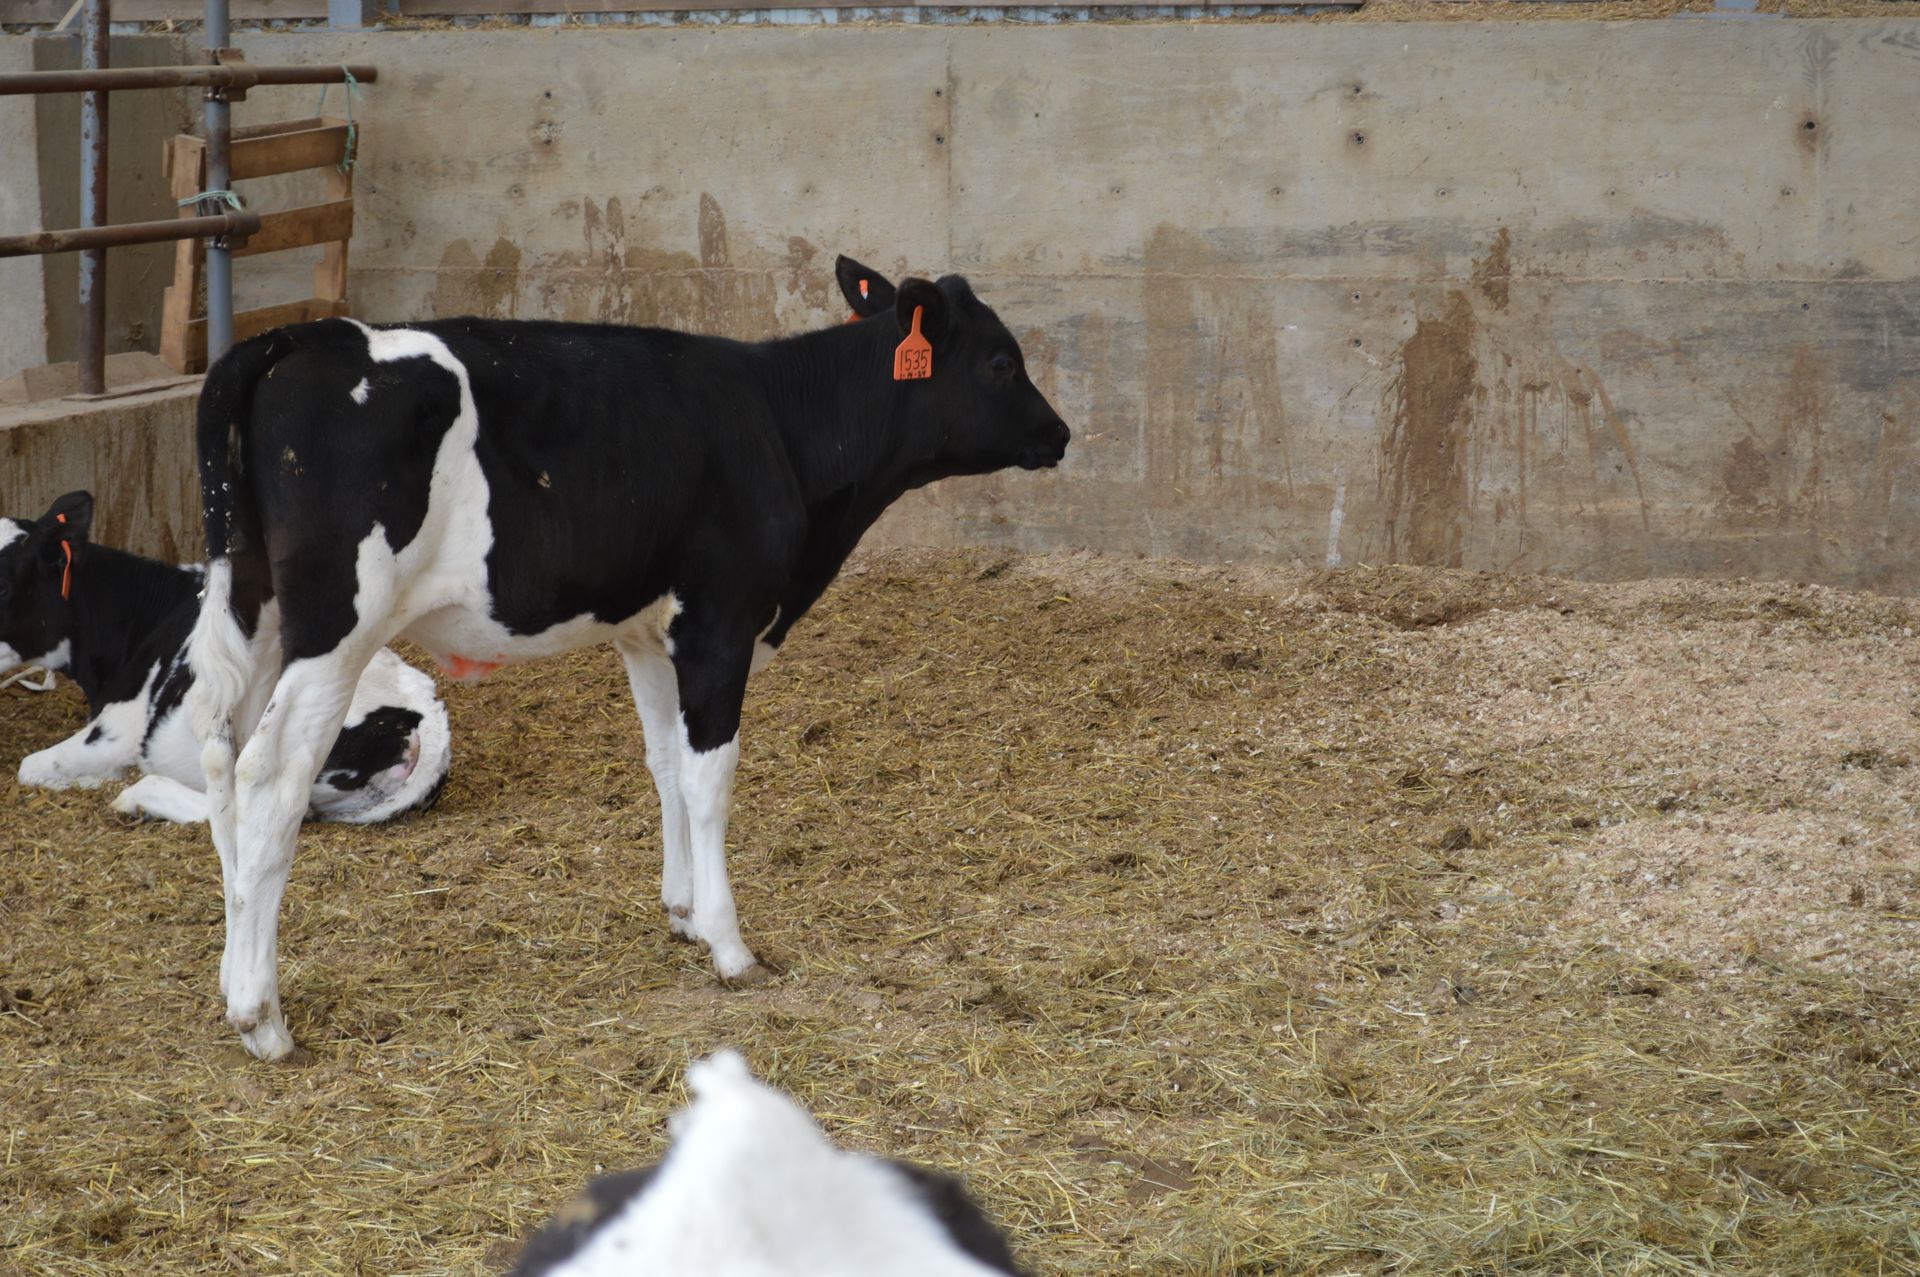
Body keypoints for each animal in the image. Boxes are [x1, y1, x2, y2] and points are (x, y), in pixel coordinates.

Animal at [188, 255, 1070, 1059]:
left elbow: (666, 761)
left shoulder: (650, 632)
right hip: (340, 622)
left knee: (223, 758)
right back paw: (263, 1018)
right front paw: (729, 944)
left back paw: (233, 980)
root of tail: (304, 335)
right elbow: (710, 776)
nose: (1060, 432)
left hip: (256, 608)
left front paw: (683, 911)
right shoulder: (720, 619)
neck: (778, 424)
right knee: (271, 771)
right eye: (1001, 362)